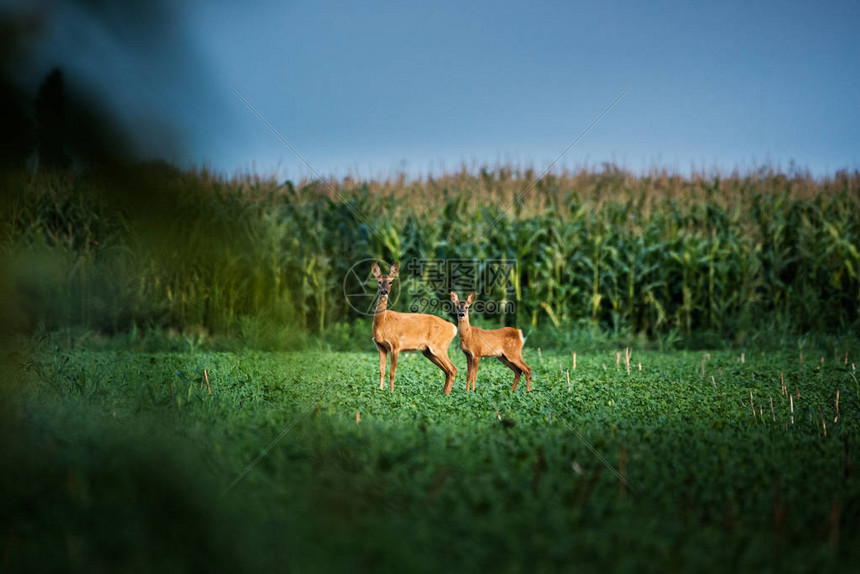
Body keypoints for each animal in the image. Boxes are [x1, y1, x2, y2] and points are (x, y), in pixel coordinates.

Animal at [372, 262, 460, 394]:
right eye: (378, 281)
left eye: (391, 281)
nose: (384, 291)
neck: (383, 323)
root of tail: (453, 328)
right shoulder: (381, 346)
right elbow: (381, 371)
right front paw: (380, 390)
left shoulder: (396, 345)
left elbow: (392, 373)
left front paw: (391, 392)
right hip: (428, 351)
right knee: (448, 371)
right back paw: (444, 394)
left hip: (439, 346)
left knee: (453, 369)